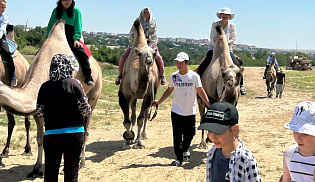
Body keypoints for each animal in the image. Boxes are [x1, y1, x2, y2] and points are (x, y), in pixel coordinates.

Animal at [0, 19, 102, 177]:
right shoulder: (39, 108)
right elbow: (40, 137)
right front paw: (37, 169)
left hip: (93, 98)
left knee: (86, 130)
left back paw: (81, 163)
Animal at [119, 18, 162, 149]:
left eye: (154, 53)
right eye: (139, 53)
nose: (149, 60)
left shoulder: (148, 96)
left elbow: (141, 119)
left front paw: (138, 142)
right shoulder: (124, 95)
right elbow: (127, 120)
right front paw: (129, 138)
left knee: (146, 114)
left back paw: (143, 135)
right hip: (133, 97)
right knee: (132, 115)